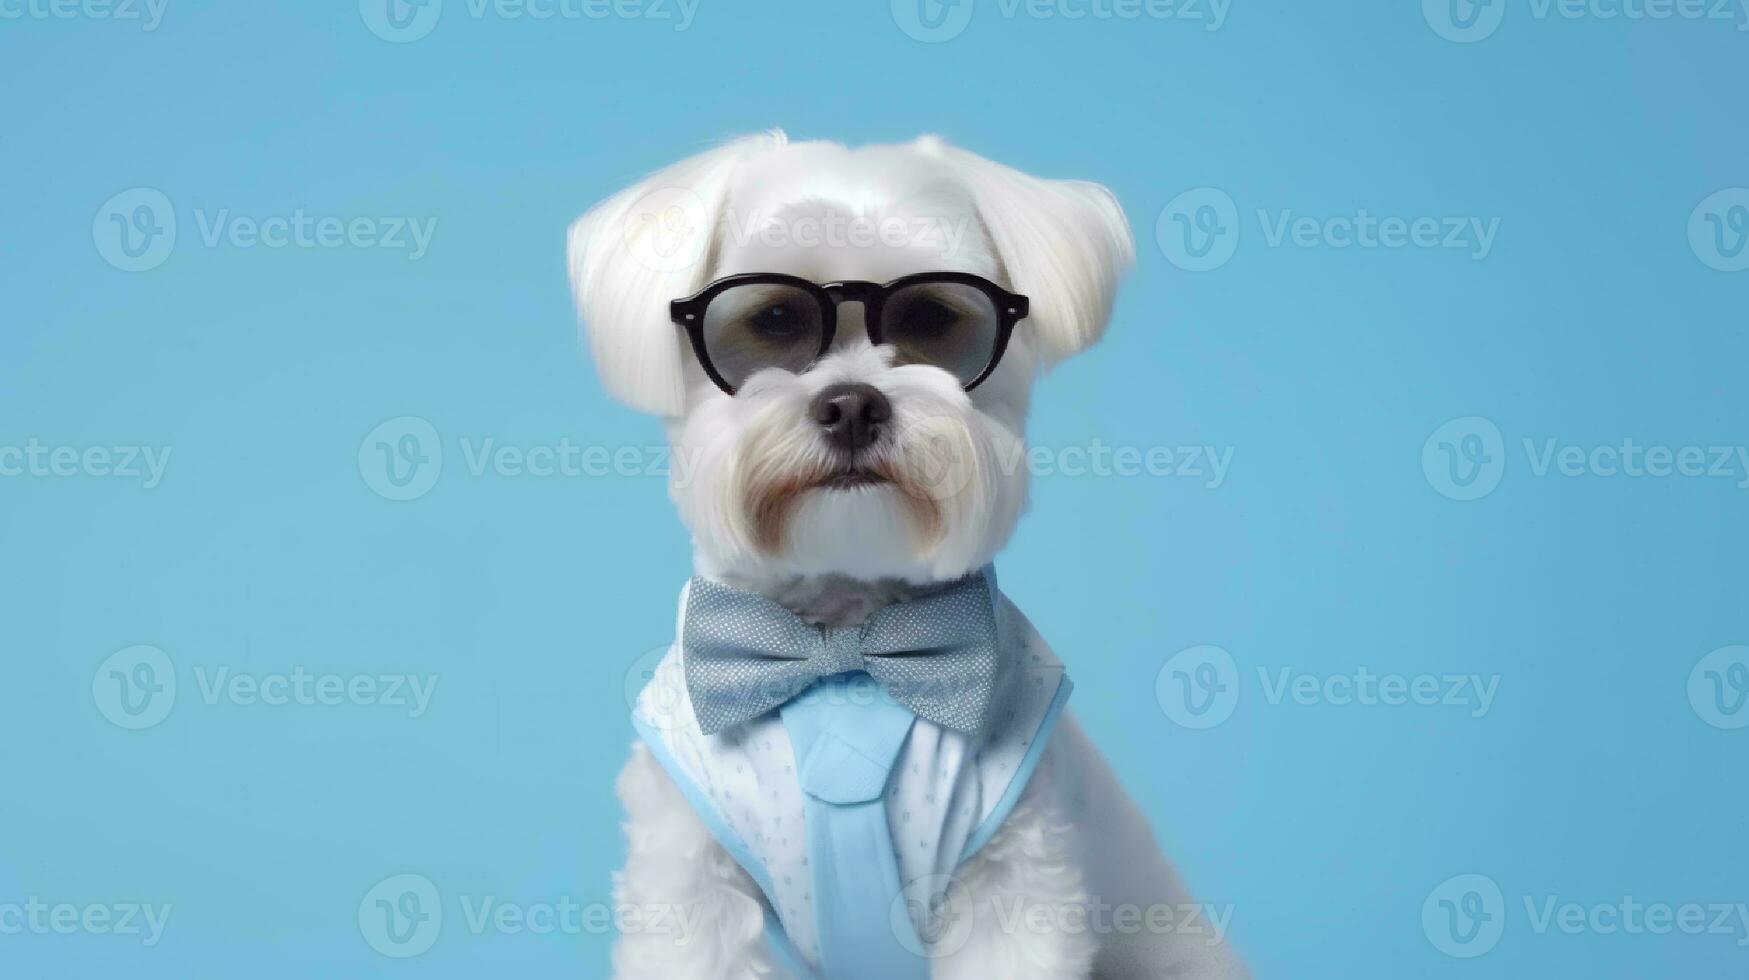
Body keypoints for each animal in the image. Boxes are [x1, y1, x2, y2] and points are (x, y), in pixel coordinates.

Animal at [566, 132, 1238, 980]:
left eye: (931, 316)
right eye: (774, 318)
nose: (853, 404)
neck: (844, 642)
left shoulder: (1015, 882)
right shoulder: (688, 889)